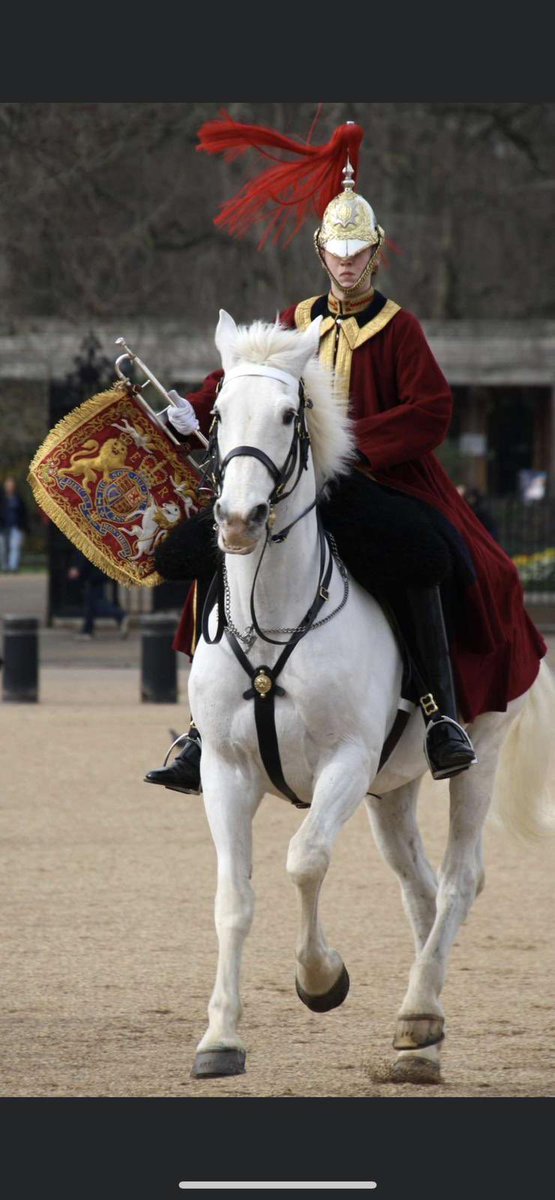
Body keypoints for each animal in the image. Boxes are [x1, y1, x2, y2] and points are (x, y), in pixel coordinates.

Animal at [187, 309, 555, 1089]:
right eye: (217, 414)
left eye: (289, 414)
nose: (237, 521)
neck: (276, 612)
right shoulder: (225, 772)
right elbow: (234, 898)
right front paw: (221, 1037)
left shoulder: (346, 764)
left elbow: (305, 859)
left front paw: (320, 977)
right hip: (392, 790)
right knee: (421, 889)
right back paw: (423, 1039)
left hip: (476, 756)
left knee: (459, 880)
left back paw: (417, 1012)